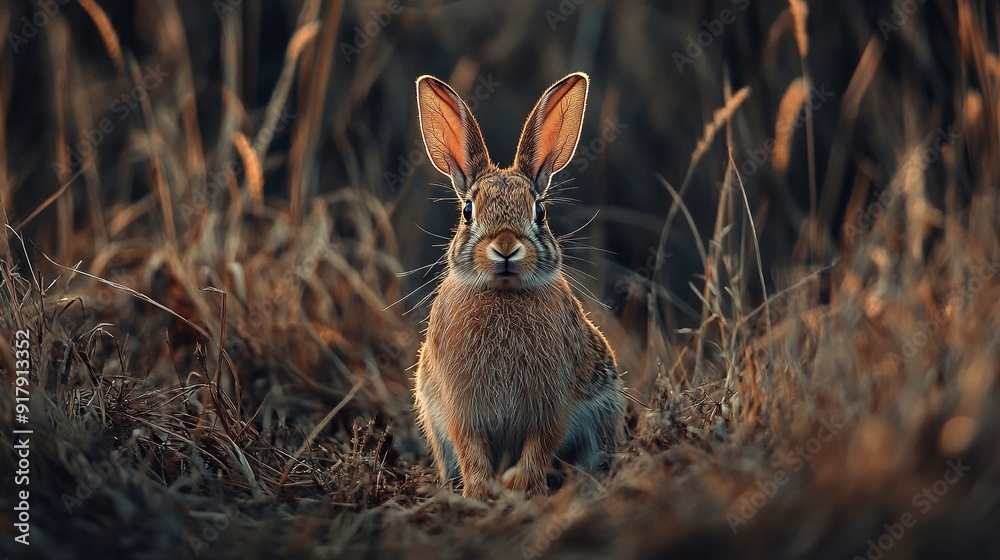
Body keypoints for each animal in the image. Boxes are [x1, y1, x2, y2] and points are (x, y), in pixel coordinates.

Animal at [412, 72, 626, 500]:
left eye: (540, 211)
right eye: (467, 211)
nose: (506, 247)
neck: (504, 293)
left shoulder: (553, 404)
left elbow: (541, 443)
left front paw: (522, 485)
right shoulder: (461, 409)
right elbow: (471, 447)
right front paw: (480, 491)